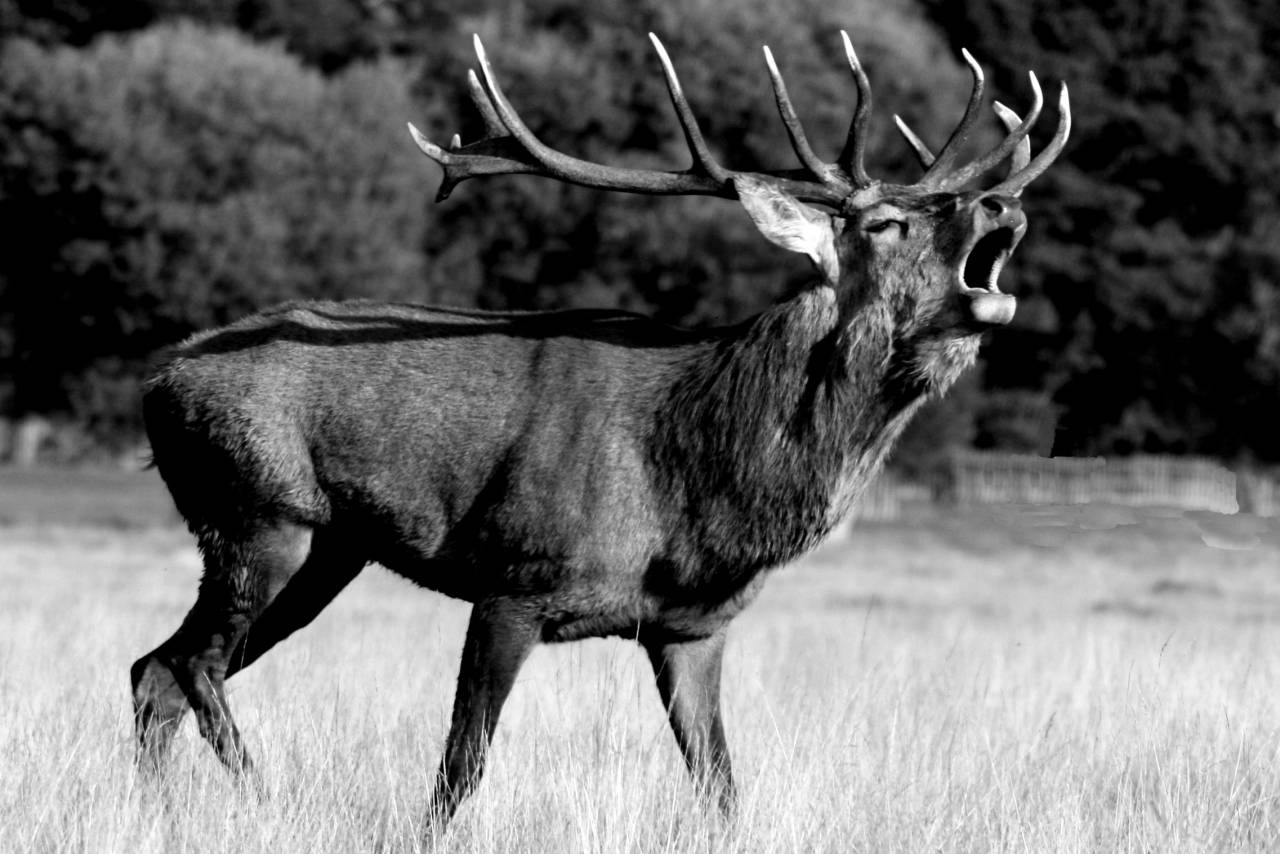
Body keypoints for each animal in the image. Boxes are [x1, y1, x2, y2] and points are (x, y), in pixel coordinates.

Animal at [132, 30, 1069, 828]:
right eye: (884, 223)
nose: (1001, 205)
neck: (699, 487)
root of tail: (157, 378)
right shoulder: (515, 576)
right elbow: (461, 768)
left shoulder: (693, 627)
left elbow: (721, 786)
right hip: (258, 511)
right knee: (192, 663)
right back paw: (264, 797)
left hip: (330, 549)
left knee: (154, 671)